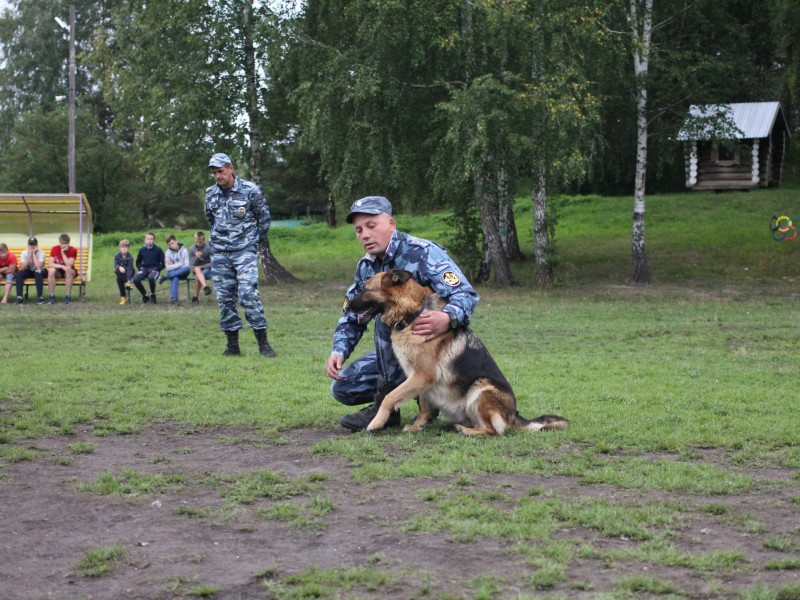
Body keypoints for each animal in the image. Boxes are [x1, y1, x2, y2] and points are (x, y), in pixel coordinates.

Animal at [350, 270, 568, 436]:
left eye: (365, 289)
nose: (347, 307)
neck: (413, 313)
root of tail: (514, 414)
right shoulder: (422, 380)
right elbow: (424, 406)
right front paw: (418, 426)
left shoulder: (422, 375)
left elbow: (390, 397)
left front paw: (376, 422)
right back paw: (452, 424)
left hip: (481, 387)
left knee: (493, 431)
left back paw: (466, 430)